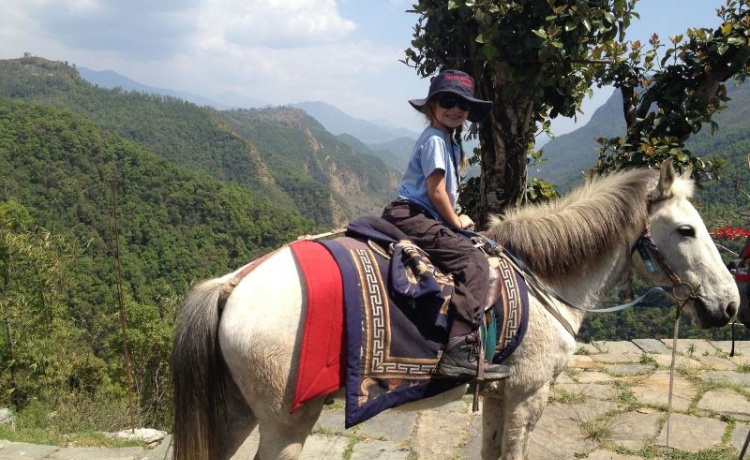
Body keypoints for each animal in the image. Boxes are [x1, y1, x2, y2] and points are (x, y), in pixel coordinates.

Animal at [172, 159, 740, 460]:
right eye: (686, 230)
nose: (729, 304)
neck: (542, 280)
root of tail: (233, 284)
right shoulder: (529, 394)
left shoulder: (499, 393)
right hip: (285, 423)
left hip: (238, 413)